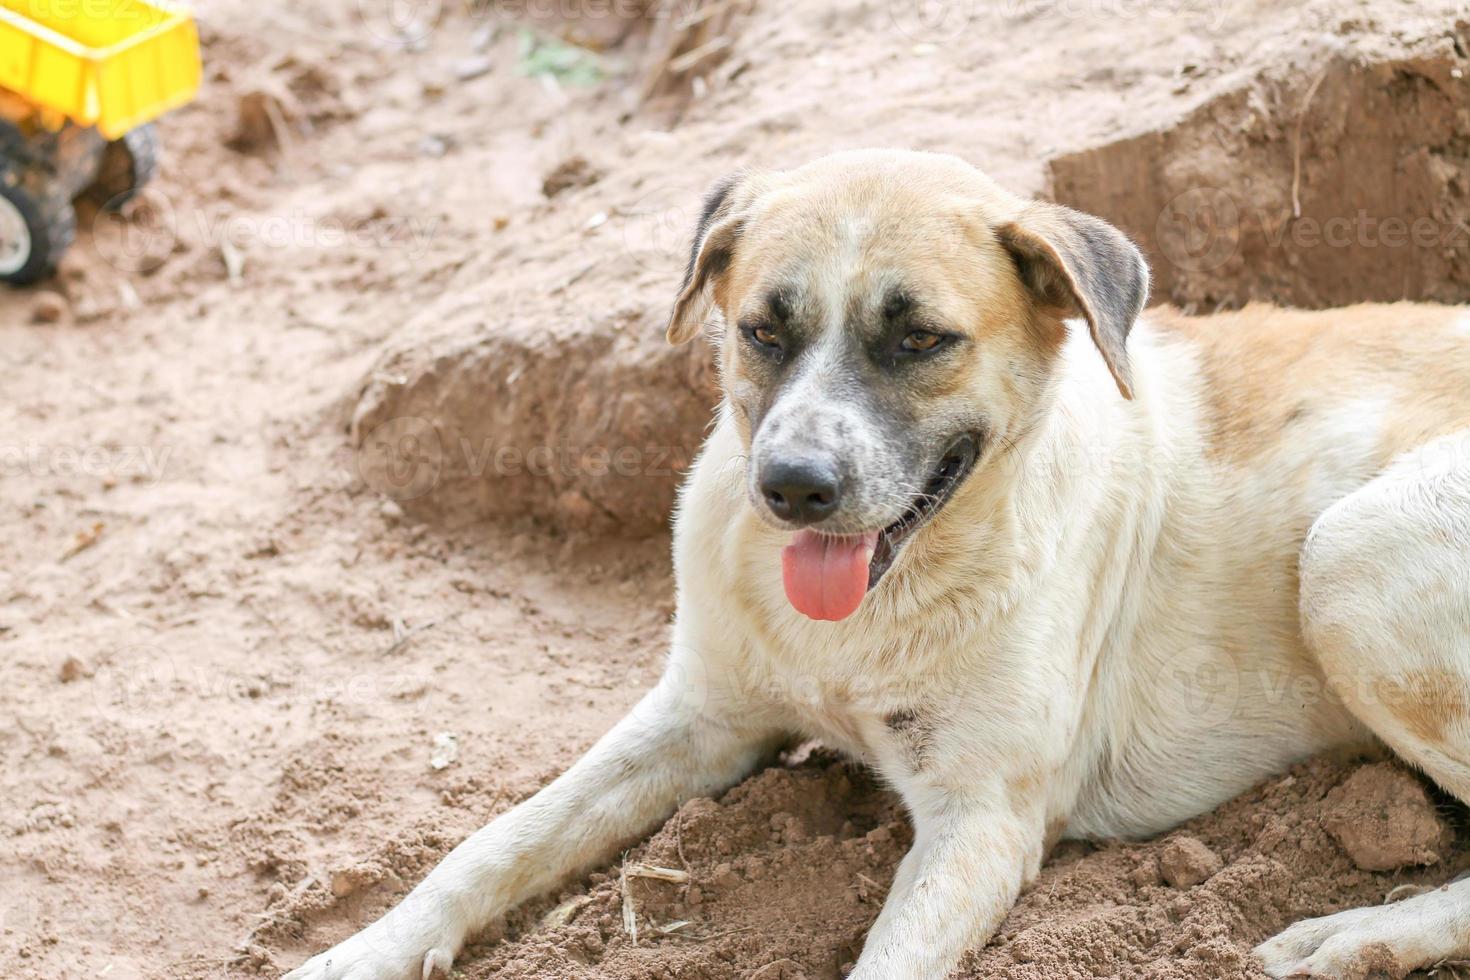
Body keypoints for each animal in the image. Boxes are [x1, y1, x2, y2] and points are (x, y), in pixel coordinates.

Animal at [289, 147, 1470, 980]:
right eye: (762, 328)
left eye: (920, 339)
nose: (793, 485)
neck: (866, 618)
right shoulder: (699, 715)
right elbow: (495, 841)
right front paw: (364, 948)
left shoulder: (982, 819)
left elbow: (889, 954)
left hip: (1351, 555)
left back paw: (1355, 934)